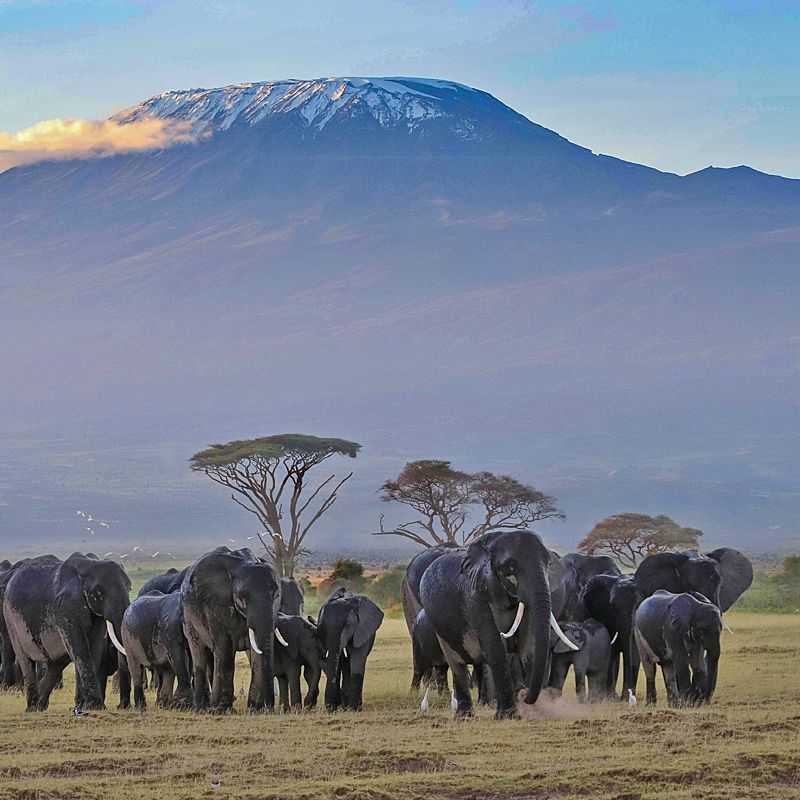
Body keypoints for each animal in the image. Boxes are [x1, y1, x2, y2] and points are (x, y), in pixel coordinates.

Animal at [3, 552, 130, 711]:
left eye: (130, 587)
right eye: (98, 591)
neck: (88, 566)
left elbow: (94, 648)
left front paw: (84, 707)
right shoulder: (64, 607)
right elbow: (80, 648)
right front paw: (96, 706)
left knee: (56, 663)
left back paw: (40, 706)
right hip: (10, 618)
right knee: (25, 660)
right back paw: (32, 708)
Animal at [181, 547, 283, 713]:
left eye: (277, 595)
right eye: (242, 596)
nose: (270, 707)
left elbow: (256, 652)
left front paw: (256, 709)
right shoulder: (215, 604)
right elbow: (225, 648)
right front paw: (220, 709)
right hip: (188, 617)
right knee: (199, 653)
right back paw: (201, 708)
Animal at [419, 529, 578, 719]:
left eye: (548, 564)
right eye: (510, 566)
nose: (525, 697)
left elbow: (529, 646)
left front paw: (532, 713)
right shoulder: (474, 594)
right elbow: (494, 647)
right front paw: (508, 716)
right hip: (439, 628)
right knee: (456, 663)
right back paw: (464, 717)